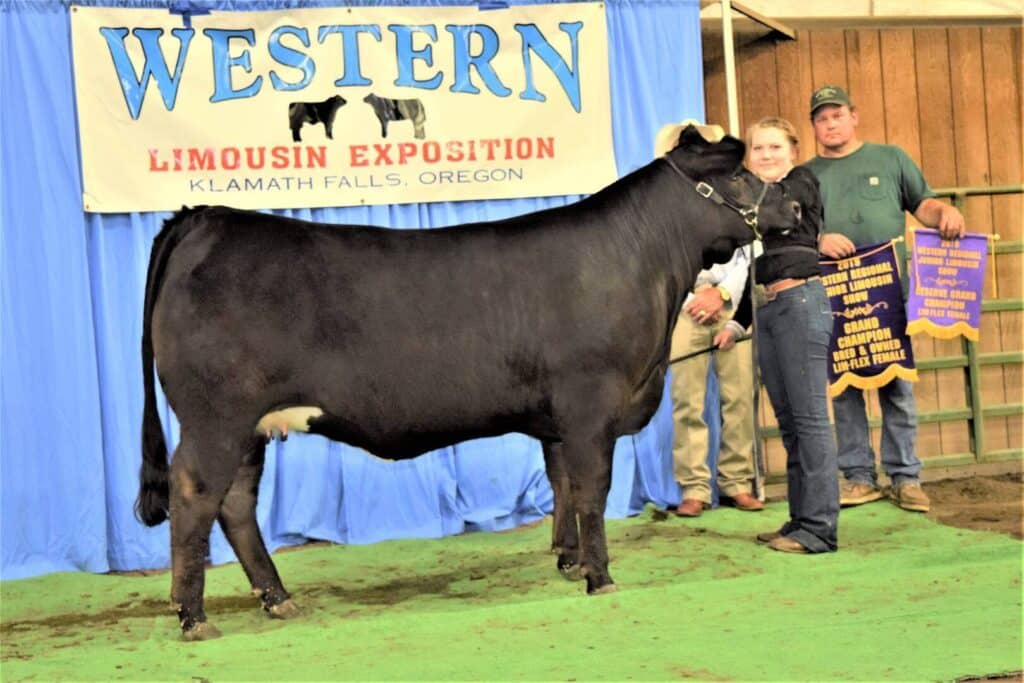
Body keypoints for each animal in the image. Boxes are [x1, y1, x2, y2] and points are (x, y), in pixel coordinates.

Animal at [138, 125, 812, 640]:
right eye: (740, 176)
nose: (796, 207)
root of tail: (205, 218)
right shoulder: (590, 404)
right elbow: (592, 491)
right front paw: (601, 577)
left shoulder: (558, 419)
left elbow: (563, 487)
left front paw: (569, 562)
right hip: (216, 416)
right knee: (195, 495)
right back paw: (193, 616)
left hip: (252, 425)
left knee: (236, 505)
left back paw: (277, 597)